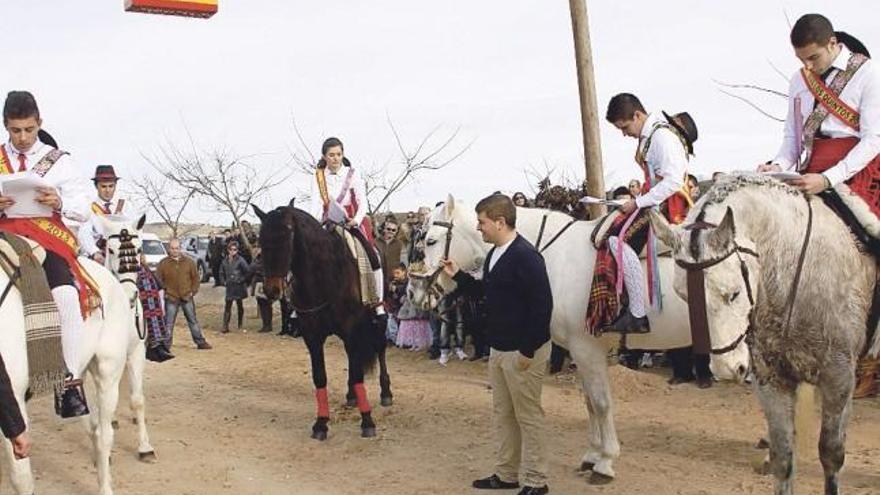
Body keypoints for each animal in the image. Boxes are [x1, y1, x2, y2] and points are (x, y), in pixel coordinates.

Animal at [254, 203, 392, 440]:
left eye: (288, 236)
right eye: (261, 239)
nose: (272, 290)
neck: (325, 276)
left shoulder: (351, 328)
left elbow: (358, 373)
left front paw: (367, 421)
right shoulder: (313, 336)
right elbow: (320, 376)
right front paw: (321, 423)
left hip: (376, 319)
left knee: (380, 347)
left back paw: (385, 392)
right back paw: (351, 395)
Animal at [410, 198, 696, 484]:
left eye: (431, 241)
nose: (414, 292)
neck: (557, 256)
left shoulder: (587, 349)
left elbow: (601, 403)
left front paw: (605, 462)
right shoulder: (582, 352)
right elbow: (590, 403)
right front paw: (592, 456)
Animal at [648, 173, 876, 495]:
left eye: (733, 293)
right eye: (683, 296)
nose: (727, 368)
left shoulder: (839, 376)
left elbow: (831, 454)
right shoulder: (771, 380)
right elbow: (783, 458)